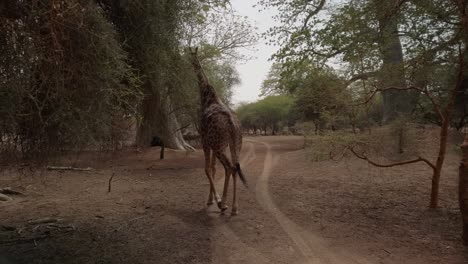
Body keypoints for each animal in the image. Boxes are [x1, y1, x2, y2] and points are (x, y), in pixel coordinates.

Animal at [187, 47, 249, 216]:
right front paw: (211, 200)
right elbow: (214, 169)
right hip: (235, 144)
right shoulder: (213, 145)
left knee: (229, 167)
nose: (190, 59)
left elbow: (207, 169)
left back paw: (225, 205)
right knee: (235, 167)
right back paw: (234, 207)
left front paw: (218, 200)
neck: (208, 98)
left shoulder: (205, 141)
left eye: (190, 54)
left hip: (220, 145)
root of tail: (232, 124)